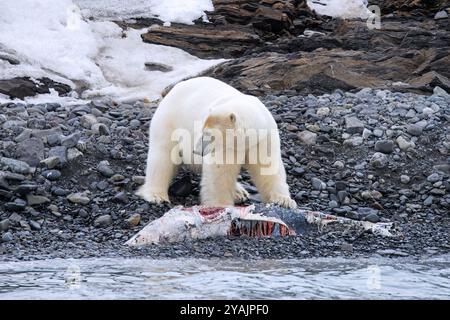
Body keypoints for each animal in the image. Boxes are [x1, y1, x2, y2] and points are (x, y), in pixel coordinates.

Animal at [137, 76, 298, 209]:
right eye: (202, 130)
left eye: (209, 135)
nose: (196, 151)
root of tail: (173, 89)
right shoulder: (225, 147)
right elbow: (220, 173)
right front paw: (222, 205)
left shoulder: (264, 138)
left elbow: (268, 166)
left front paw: (284, 200)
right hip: (169, 122)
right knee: (162, 157)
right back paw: (156, 195)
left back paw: (239, 192)